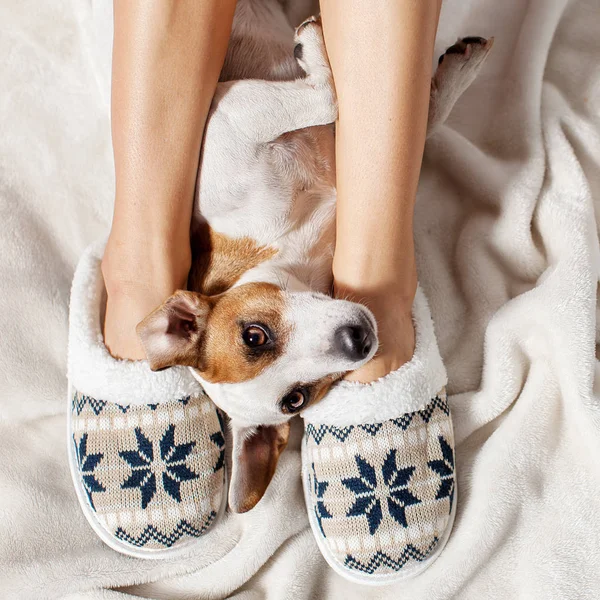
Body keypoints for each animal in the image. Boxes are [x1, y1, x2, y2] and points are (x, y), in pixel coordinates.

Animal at [136, 1, 492, 516]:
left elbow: (367, 109)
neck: (293, 249)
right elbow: (346, 104)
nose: (357, 340)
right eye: (295, 401)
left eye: (254, 335)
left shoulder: (228, 116)